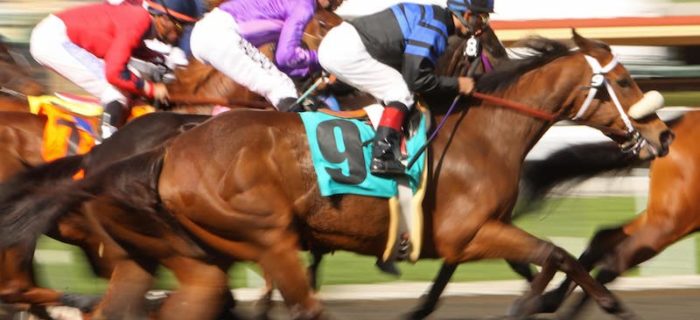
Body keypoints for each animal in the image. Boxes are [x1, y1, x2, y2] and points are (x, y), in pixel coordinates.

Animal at [0, 30, 676, 320]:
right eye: (622, 81)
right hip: (262, 237)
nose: (666, 134)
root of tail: (163, 151)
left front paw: (537, 298)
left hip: (177, 255)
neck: (483, 132)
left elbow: (528, 260)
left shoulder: (467, 233)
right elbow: (552, 252)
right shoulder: (470, 231)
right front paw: (597, 300)